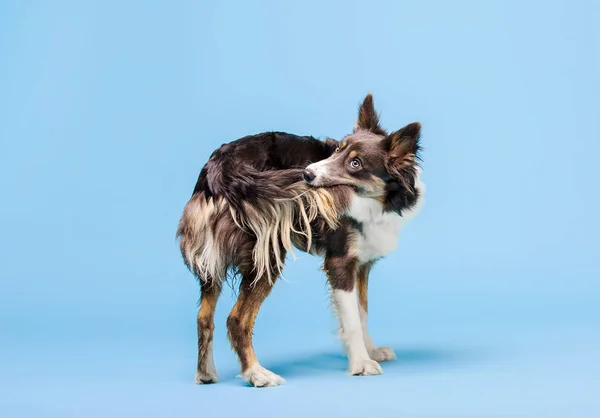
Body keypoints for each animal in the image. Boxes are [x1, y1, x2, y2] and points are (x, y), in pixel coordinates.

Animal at [176, 93, 424, 386]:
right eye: (337, 150)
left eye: (355, 163)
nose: (307, 174)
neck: (379, 200)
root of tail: (220, 169)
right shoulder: (340, 262)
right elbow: (352, 319)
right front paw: (361, 363)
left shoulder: (362, 263)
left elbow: (362, 311)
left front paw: (371, 350)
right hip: (267, 255)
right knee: (236, 319)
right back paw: (256, 373)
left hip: (211, 260)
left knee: (203, 317)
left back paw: (206, 373)